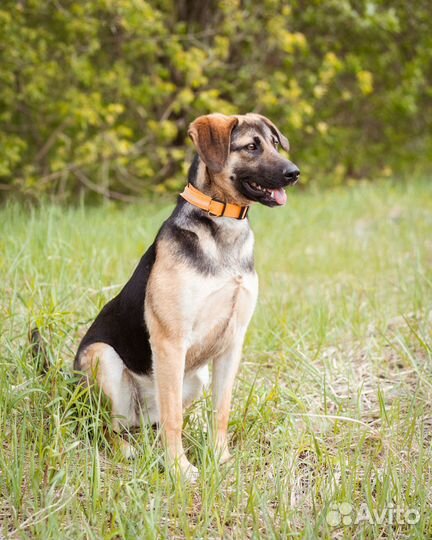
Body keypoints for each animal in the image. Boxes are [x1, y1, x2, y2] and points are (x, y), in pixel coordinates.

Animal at [73, 112, 300, 478]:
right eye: (251, 147)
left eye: (275, 144)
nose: (294, 172)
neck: (223, 225)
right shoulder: (170, 341)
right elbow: (174, 418)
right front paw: (179, 468)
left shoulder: (233, 342)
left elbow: (221, 410)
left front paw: (220, 457)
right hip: (102, 359)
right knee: (107, 425)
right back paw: (126, 450)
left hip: (195, 378)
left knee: (148, 424)